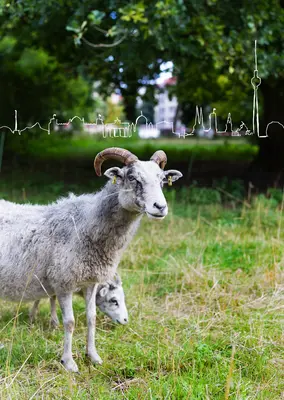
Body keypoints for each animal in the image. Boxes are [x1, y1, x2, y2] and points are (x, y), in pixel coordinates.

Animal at [0, 148, 182, 372]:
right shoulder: (63, 283)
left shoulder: (90, 282)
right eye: (132, 178)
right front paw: (68, 362)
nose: (160, 207)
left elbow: (91, 318)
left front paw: (93, 356)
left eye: (162, 180)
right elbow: (69, 322)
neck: (84, 224)